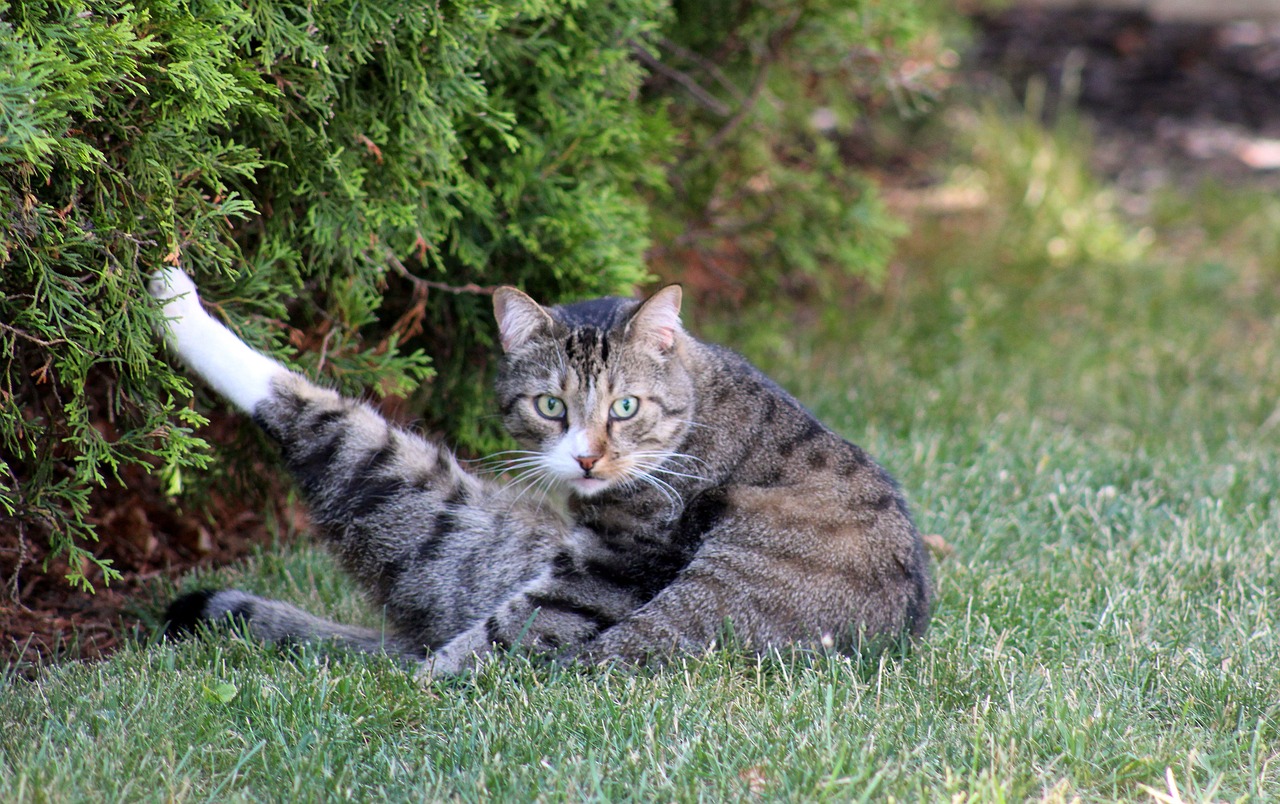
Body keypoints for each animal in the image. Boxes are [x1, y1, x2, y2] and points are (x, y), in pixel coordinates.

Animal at [152, 267, 931, 675]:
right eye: (550, 404)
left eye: (625, 405)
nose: (587, 456)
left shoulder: (607, 569)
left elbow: (497, 638)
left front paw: (408, 694)